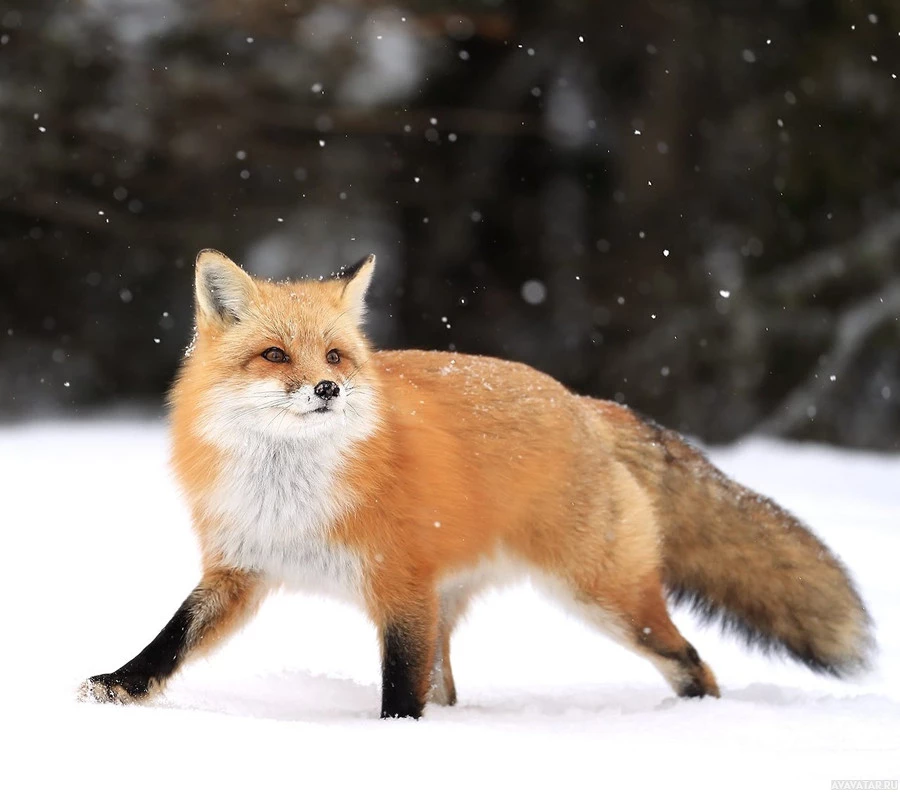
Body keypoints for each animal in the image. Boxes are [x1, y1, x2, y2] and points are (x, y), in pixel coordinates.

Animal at [79, 249, 872, 716]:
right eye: (275, 354)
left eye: (334, 355)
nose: (329, 389)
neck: (292, 496)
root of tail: (584, 404)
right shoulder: (240, 570)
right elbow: (172, 638)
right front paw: (122, 685)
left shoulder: (399, 589)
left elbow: (398, 686)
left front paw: (394, 740)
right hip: (460, 604)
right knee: (451, 689)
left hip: (604, 597)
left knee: (692, 661)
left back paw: (697, 718)